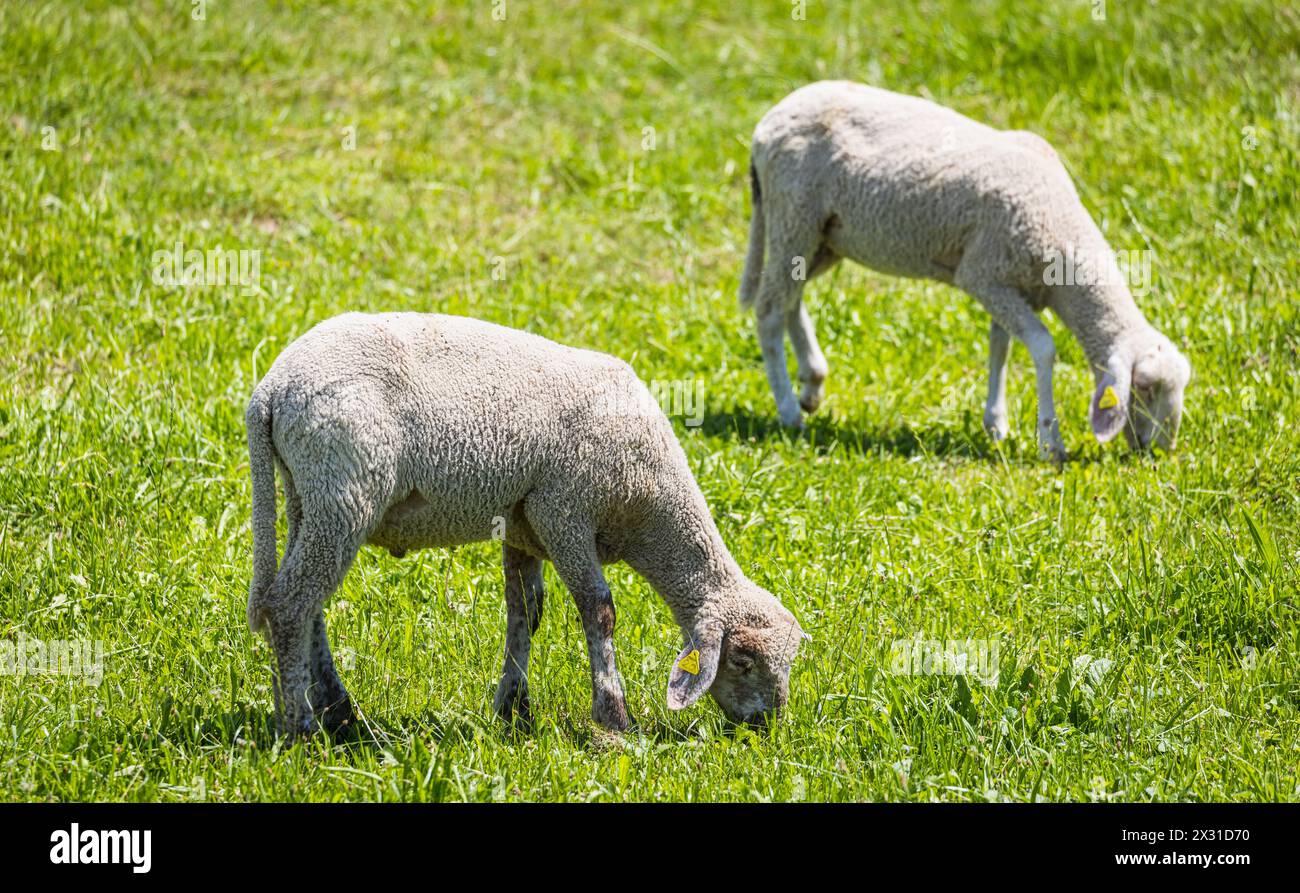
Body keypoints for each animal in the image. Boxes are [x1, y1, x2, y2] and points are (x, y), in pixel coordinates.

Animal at [244, 310, 800, 738]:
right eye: (743, 661)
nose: (766, 728)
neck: (648, 503)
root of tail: (271, 389)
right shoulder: (563, 511)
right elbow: (599, 610)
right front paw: (614, 718)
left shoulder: (522, 526)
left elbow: (524, 612)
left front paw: (513, 709)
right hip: (345, 489)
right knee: (290, 604)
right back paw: (300, 729)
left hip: (309, 494)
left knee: (307, 601)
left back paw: (337, 712)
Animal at [738, 81, 1190, 460]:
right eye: (1144, 388)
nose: (1162, 451)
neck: (1059, 230)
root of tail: (766, 123)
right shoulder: (983, 274)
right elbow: (1043, 347)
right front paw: (1050, 441)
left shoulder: (1009, 285)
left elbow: (1000, 347)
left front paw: (997, 425)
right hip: (793, 215)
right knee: (770, 309)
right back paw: (789, 410)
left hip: (822, 237)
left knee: (791, 297)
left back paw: (811, 385)